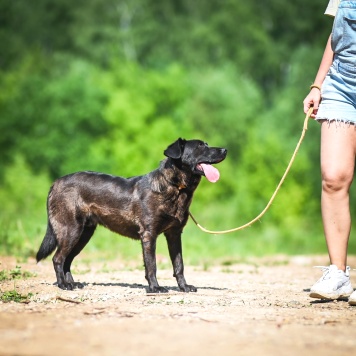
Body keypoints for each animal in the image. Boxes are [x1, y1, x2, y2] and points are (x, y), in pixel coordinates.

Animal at [35, 138, 225, 292]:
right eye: (200, 146)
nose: (225, 149)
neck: (175, 187)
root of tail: (55, 183)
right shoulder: (149, 234)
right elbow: (151, 265)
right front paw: (155, 288)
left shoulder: (174, 234)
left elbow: (179, 265)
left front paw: (184, 287)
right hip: (71, 231)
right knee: (58, 258)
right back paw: (64, 285)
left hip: (83, 234)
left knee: (67, 260)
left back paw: (72, 283)